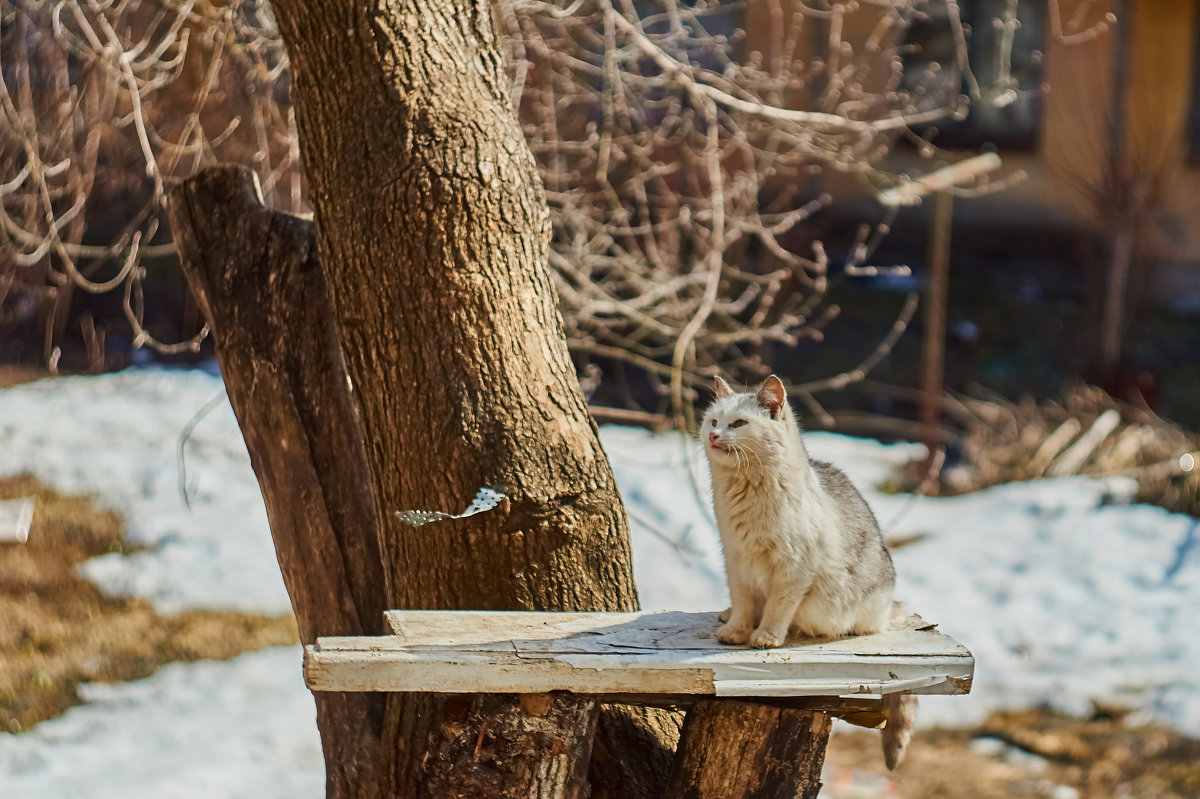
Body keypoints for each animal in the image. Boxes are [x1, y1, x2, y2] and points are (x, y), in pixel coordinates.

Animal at [700, 374, 916, 767]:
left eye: (738, 424)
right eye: (713, 421)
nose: (714, 436)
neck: (747, 491)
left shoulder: (793, 568)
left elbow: (777, 609)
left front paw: (765, 636)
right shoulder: (735, 561)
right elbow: (742, 602)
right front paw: (737, 629)